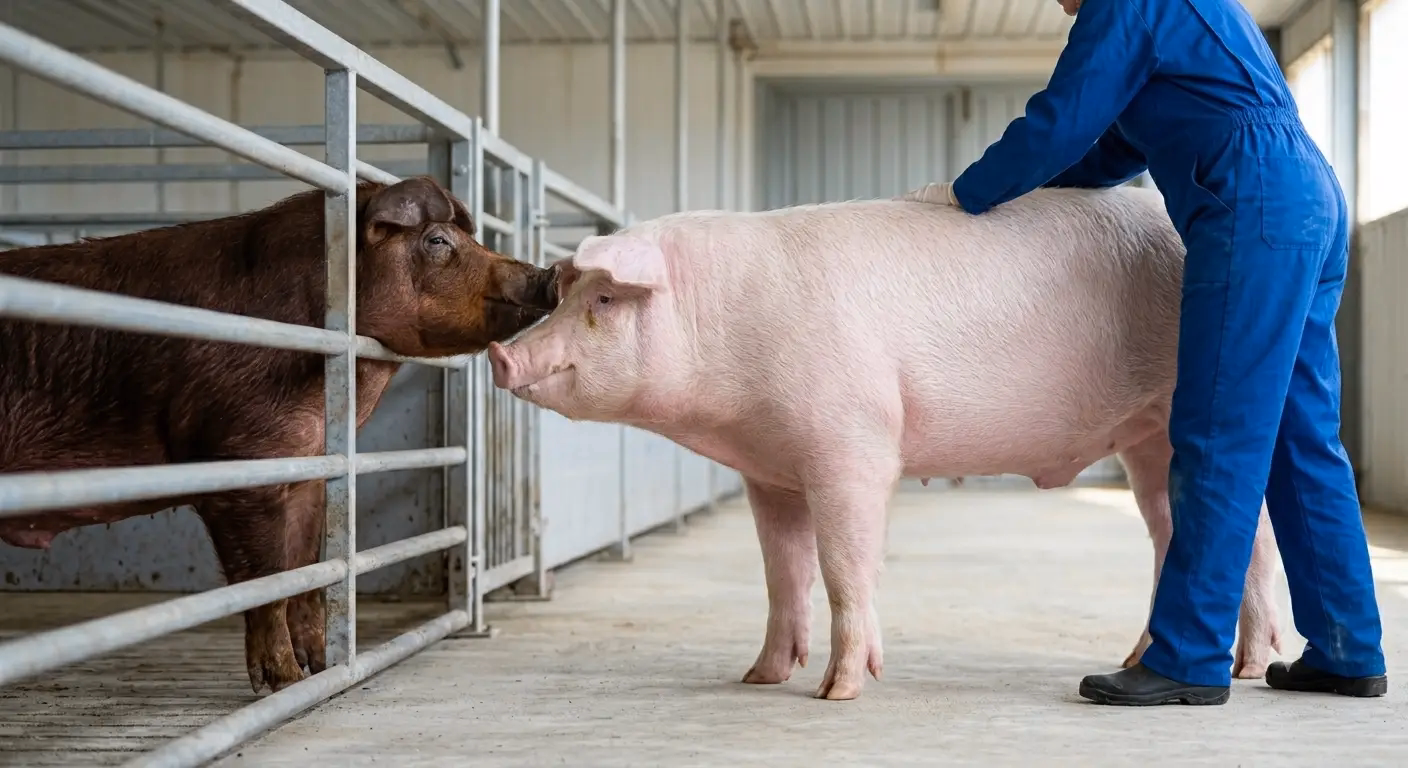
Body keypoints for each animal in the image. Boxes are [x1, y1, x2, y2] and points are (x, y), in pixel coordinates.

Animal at [0, 176, 557, 694]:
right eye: (438, 240)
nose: (548, 273)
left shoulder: (309, 470)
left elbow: (307, 570)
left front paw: (323, 670)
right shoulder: (240, 459)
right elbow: (267, 582)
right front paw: (285, 685)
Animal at [486, 185, 1282, 700]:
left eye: (604, 298)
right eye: (568, 295)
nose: (500, 355)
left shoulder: (854, 444)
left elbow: (844, 565)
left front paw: (838, 692)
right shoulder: (768, 471)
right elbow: (782, 573)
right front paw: (759, 676)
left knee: (1249, 534)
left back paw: (1246, 671)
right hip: (1146, 438)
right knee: (1168, 530)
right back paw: (1138, 659)